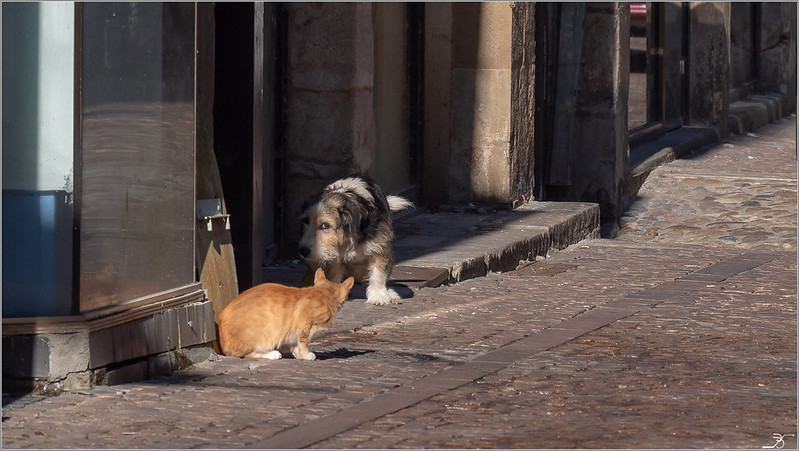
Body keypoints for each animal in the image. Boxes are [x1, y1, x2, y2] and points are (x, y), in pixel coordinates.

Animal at [219, 268, 356, 360]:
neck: (325, 294)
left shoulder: (294, 331)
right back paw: (273, 354)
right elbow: (303, 342)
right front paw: (306, 355)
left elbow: (295, 345)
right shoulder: (305, 324)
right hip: (266, 336)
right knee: (245, 353)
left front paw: (300, 356)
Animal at [298, 177, 412, 308]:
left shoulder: (379, 247)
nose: (303, 251)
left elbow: (378, 274)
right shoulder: (333, 258)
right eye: (305, 222)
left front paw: (378, 296)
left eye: (324, 225)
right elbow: (333, 274)